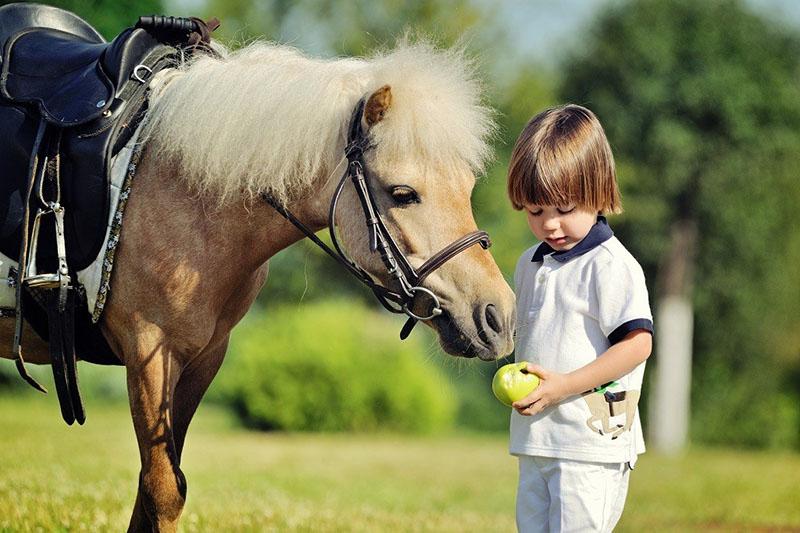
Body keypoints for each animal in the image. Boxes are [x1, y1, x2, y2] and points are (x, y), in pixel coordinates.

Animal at [1, 37, 512, 528]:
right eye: (403, 194)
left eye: (467, 187)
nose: (499, 317)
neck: (185, 195)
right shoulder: (149, 352)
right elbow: (163, 491)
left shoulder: (203, 358)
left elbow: (152, 492)